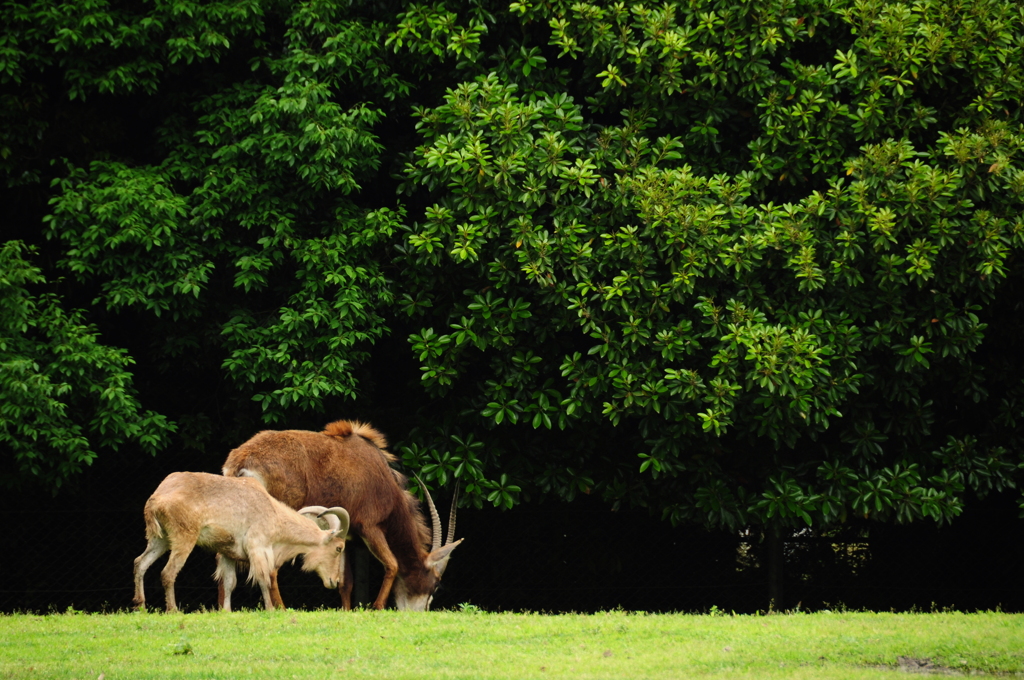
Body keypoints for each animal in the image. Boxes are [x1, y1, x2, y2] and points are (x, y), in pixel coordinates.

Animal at [133, 473, 352, 610]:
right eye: (339, 548)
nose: (334, 581)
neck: (273, 513)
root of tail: (156, 499)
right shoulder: (258, 548)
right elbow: (263, 579)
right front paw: (270, 609)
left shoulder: (228, 554)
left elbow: (230, 583)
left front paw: (226, 611)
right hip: (183, 538)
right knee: (168, 573)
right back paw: (172, 610)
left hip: (159, 539)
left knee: (140, 563)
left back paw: (140, 605)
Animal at [226, 419, 466, 610]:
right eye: (436, 584)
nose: (420, 612)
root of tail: (242, 460)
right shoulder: (371, 528)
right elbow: (392, 564)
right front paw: (377, 608)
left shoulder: (346, 537)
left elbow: (346, 581)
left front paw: (347, 611)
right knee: (272, 566)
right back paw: (281, 609)